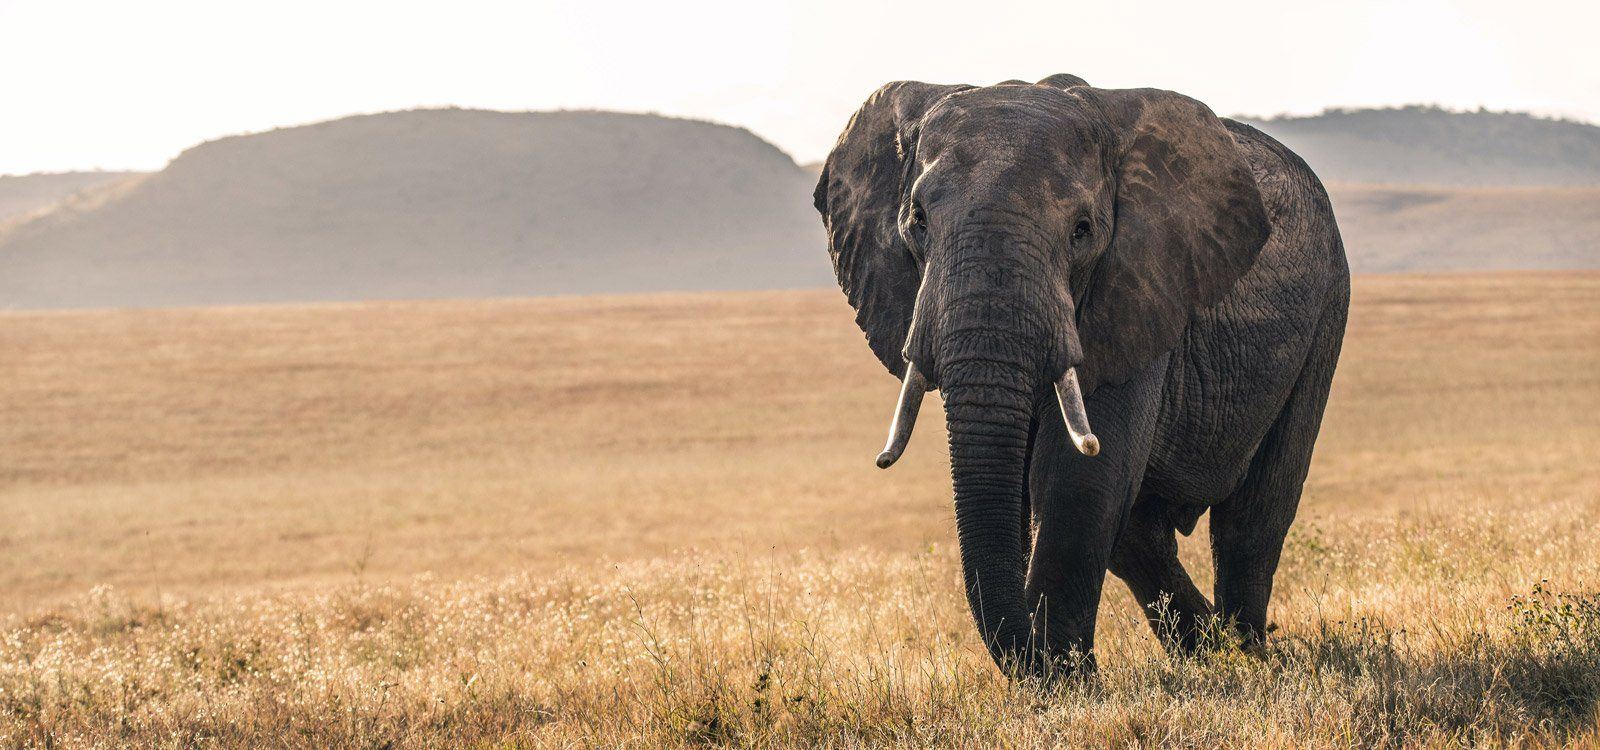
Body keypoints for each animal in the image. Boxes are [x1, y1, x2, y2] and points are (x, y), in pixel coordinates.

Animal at [813, 74, 1349, 679]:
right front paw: (1062, 675)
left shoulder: (1139, 287)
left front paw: (1066, 682)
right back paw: (1208, 652)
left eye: (1082, 230)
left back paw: (1248, 657)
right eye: (918, 220)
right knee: (1141, 535)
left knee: (1253, 516)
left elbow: (1078, 478)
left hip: (1328, 309)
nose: (1034, 657)